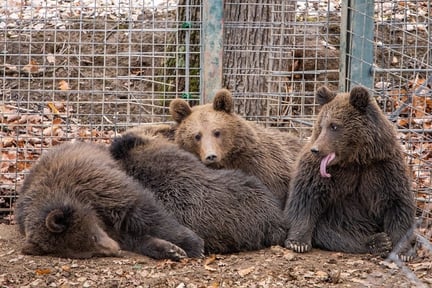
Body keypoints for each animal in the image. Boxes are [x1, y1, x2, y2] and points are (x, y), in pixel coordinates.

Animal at [15, 141, 204, 258]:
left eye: (93, 238)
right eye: (89, 253)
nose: (115, 250)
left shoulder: (104, 189)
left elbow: (146, 214)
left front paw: (192, 244)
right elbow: (134, 239)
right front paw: (170, 249)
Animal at [282, 85, 416, 260]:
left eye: (334, 126)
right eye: (321, 125)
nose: (316, 150)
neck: (355, 160)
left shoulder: (384, 167)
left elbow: (397, 202)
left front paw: (403, 252)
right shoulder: (318, 172)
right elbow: (305, 197)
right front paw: (298, 242)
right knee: (334, 233)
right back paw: (378, 241)